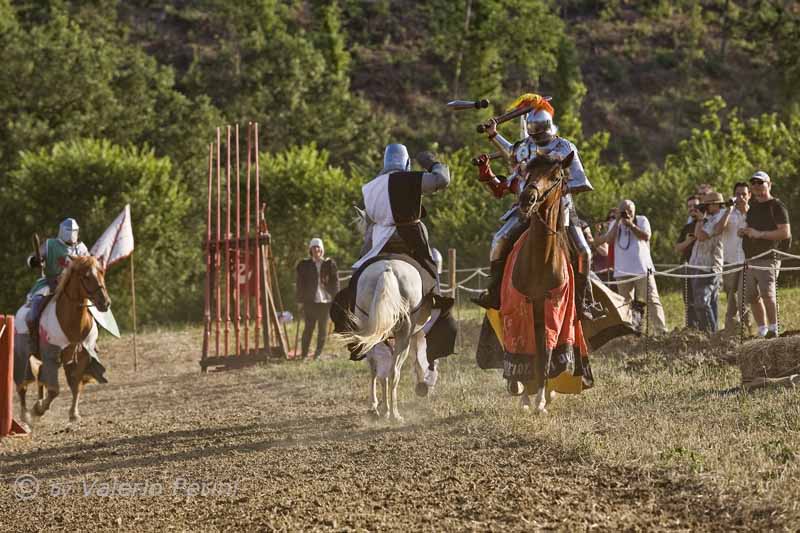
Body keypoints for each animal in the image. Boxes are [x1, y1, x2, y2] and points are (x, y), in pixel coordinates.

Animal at [16, 255, 110, 424]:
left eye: (101, 272)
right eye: (85, 276)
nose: (104, 303)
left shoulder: (81, 356)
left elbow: (76, 384)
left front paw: (74, 413)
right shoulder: (51, 355)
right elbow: (54, 390)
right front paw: (38, 410)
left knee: (40, 377)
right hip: (23, 355)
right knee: (23, 385)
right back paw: (25, 414)